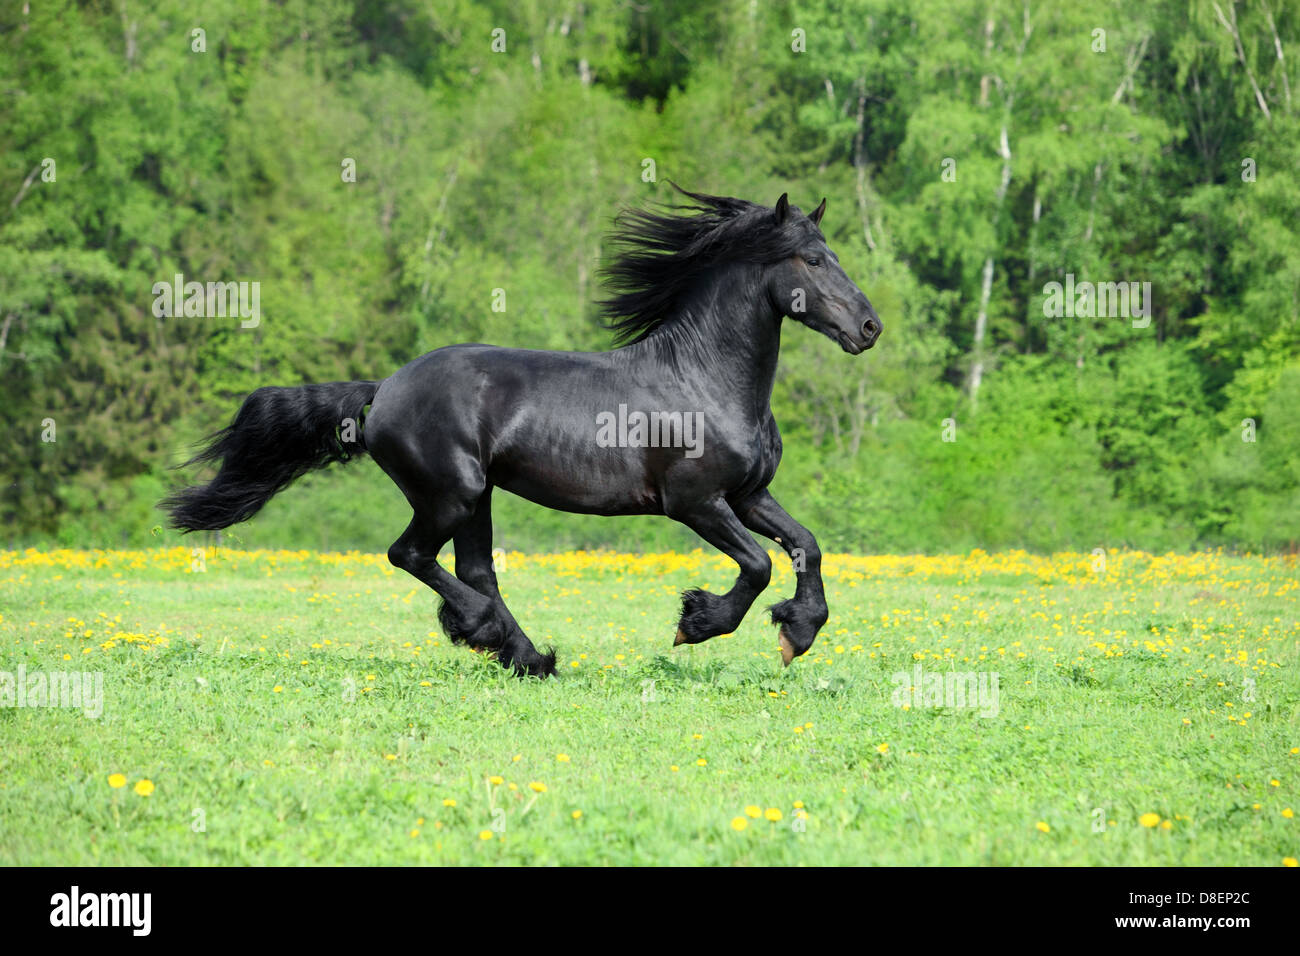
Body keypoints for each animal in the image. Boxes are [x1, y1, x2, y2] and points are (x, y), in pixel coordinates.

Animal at [157, 187, 878, 676]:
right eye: (812, 260)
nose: (869, 328)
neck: (702, 380)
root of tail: (383, 389)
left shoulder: (750, 496)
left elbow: (807, 546)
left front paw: (798, 632)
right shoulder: (695, 502)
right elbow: (758, 564)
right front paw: (697, 622)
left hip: (476, 496)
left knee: (473, 567)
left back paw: (526, 655)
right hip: (449, 492)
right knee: (410, 556)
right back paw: (488, 635)